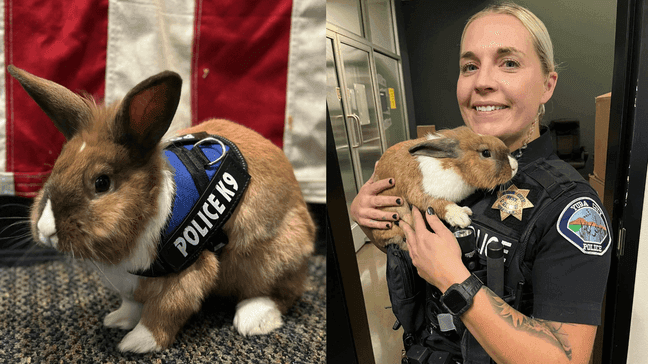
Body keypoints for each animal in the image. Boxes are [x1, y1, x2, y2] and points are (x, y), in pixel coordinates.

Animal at [8, 65, 316, 352]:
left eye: (101, 182)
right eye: (57, 168)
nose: (45, 229)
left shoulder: (188, 273)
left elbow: (166, 310)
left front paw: (137, 342)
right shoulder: (130, 282)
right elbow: (132, 304)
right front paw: (117, 320)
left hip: (271, 257)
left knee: (281, 292)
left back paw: (253, 320)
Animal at [372, 127, 520, 250]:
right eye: (486, 152)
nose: (515, 166)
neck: (457, 166)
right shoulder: (419, 191)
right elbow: (435, 202)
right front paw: (460, 216)